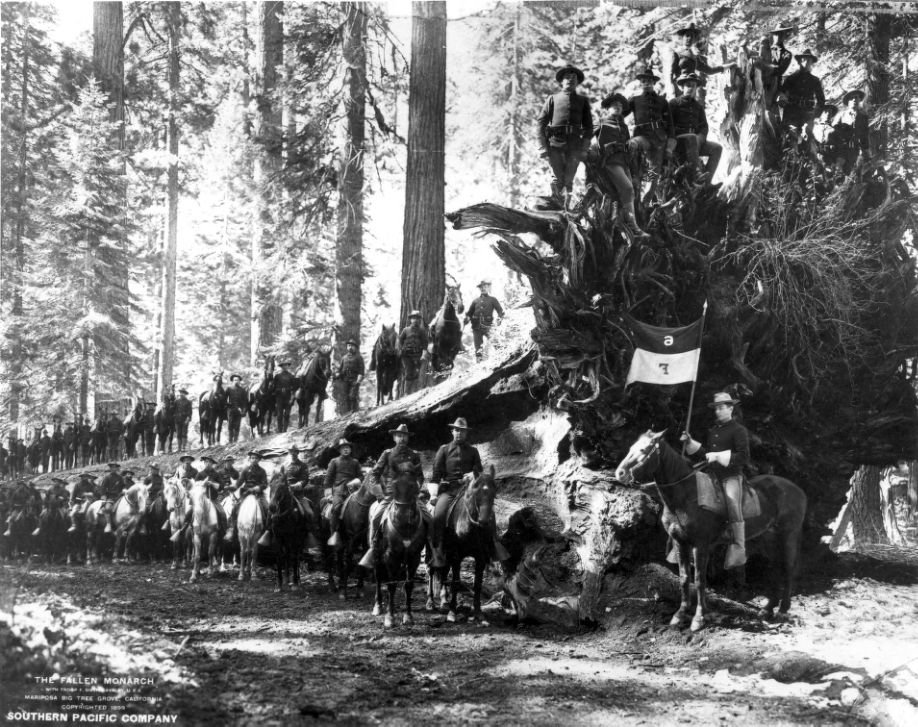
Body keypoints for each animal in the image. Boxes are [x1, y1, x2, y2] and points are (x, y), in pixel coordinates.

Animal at [370, 474, 428, 628]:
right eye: (393, 487)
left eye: (414, 486)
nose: (403, 515)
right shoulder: (391, 557)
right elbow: (392, 585)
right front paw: (390, 618)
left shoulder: (414, 557)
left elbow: (408, 585)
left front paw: (408, 616)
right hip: (377, 556)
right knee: (378, 578)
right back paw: (378, 607)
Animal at [430, 470, 500, 624]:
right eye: (476, 491)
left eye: (494, 492)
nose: (484, 521)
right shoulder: (457, 556)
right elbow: (456, 582)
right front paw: (452, 613)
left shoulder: (480, 558)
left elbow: (477, 585)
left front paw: (478, 613)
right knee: (432, 571)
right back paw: (430, 602)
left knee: (443, 573)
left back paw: (444, 602)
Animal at [620, 432, 804, 632]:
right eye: (631, 447)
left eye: (644, 449)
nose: (620, 473)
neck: (686, 496)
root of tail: (799, 491)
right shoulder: (680, 542)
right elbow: (684, 578)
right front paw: (680, 614)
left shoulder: (700, 545)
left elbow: (700, 579)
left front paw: (699, 618)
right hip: (768, 539)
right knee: (775, 568)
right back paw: (768, 608)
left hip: (789, 536)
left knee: (788, 568)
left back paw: (783, 610)